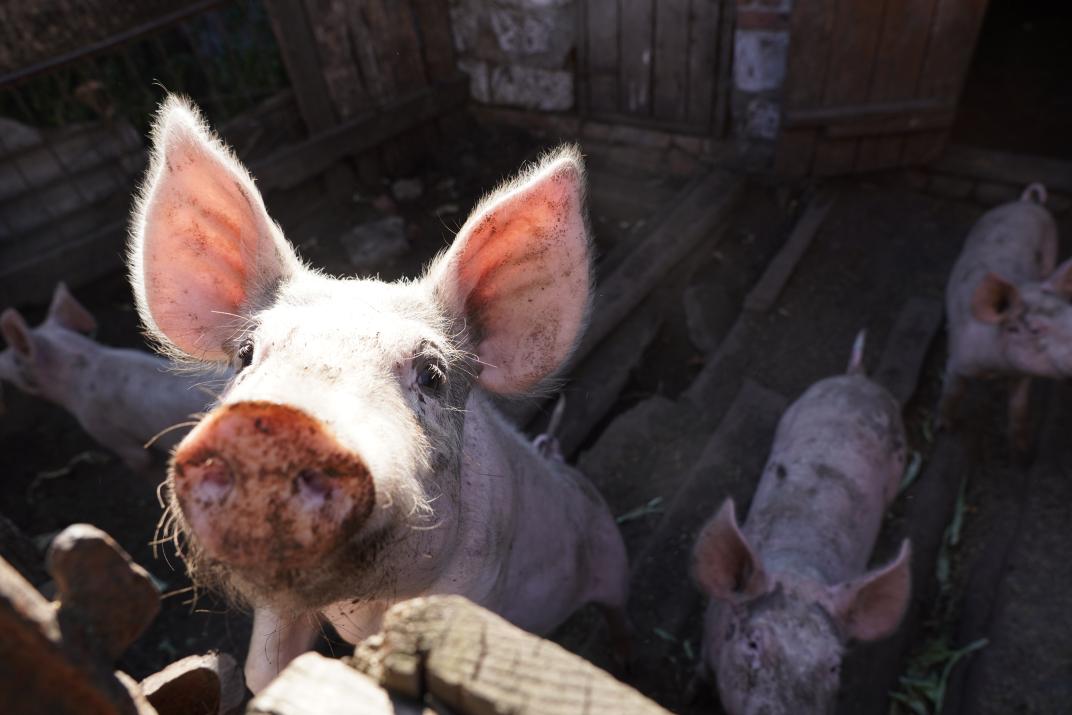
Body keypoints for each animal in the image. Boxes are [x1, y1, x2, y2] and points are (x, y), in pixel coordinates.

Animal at [939, 183, 1069, 451]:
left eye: (1071, 313)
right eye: (1035, 329)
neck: (997, 367)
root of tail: (1026, 203)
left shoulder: (1022, 375)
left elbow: (1019, 407)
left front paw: (1021, 448)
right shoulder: (957, 360)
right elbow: (952, 393)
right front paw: (943, 427)